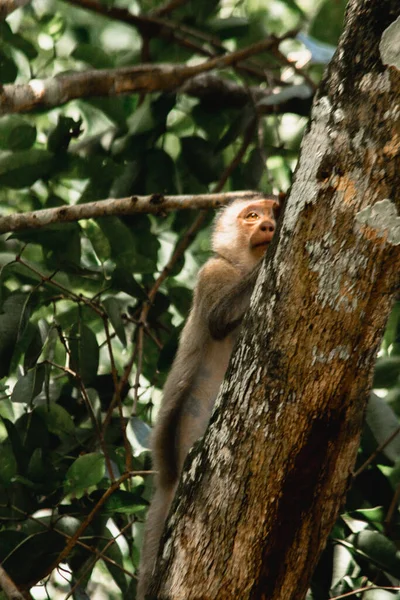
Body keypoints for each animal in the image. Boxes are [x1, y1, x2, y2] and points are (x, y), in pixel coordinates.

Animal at [137, 197, 278, 600]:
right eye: (252, 215)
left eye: (272, 211)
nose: (269, 225)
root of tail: (166, 477)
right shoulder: (212, 273)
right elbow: (217, 318)